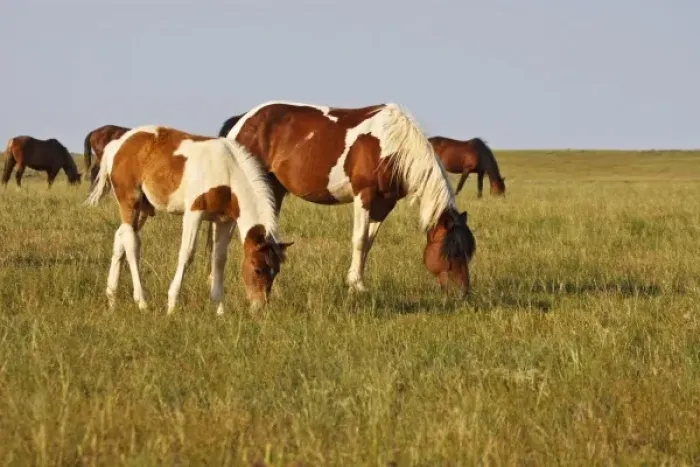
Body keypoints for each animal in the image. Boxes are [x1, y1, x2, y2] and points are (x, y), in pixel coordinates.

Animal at [84, 125, 293, 315]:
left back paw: (111, 298)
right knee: (131, 242)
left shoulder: (224, 221)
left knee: (120, 237)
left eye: (276, 271)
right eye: (257, 269)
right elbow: (187, 254)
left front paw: (219, 309)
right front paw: (172, 305)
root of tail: (118, 144)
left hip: (143, 208)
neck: (226, 172)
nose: (259, 306)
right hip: (130, 201)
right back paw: (141, 301)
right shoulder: (194, 213)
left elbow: (219, 259)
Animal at [217, 101, 476, 296]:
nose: (462, 292)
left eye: (468, 252)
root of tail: (243, 120)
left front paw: (357, 282)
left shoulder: (384, 203)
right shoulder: (364, 195)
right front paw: (356, 287)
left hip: (274, 189)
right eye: (452, 252)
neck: (391, 146)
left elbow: (369, 242)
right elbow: (359, 239)